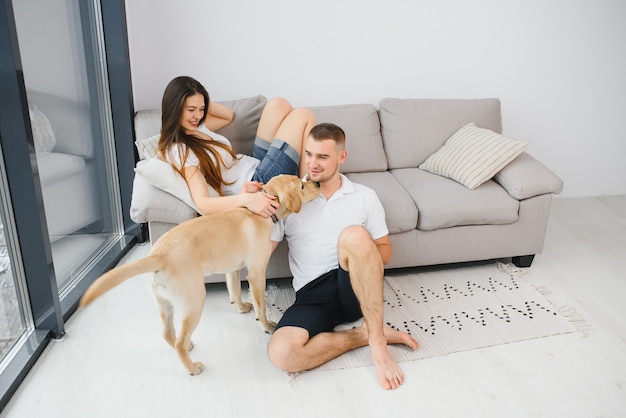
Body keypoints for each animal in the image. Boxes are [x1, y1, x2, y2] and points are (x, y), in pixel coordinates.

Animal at [80, 175, 320, 374]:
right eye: (301, 185)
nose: (317, 184)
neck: (258, 212)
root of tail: (158, 255)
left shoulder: (232, 269)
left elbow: (235, 291)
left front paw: (240, 307)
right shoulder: (256, 273)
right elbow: (260, 306)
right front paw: (267, 325)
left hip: (164, 304)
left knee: (168, 334)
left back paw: (186, 347)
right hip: (194, 301)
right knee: (178, 339)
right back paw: (192, 367)